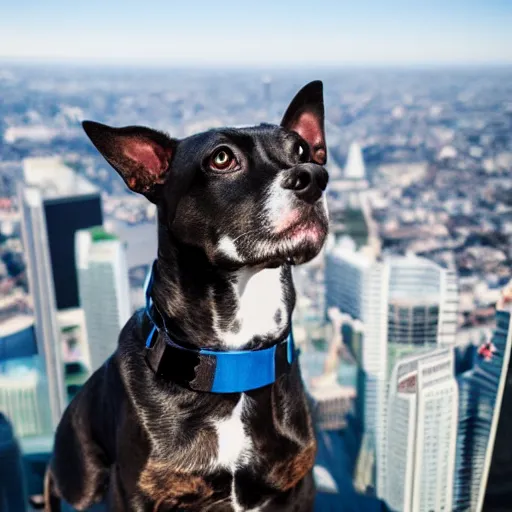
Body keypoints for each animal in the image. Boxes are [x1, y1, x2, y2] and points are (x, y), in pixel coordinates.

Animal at [46, 80, 330, 512]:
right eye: (222, 158)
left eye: (301, 150)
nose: (314, 176)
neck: (232, 365)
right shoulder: (136, 494)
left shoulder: (297, 487)